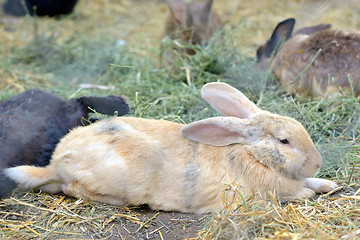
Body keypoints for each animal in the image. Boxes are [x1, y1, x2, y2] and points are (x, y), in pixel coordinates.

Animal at [4, 83, 338, 214]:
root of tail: (56, 163)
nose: (317, 162)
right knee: (72, 188)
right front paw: (310, 191)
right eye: (284, 141)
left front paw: (327, 183)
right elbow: (295, 193)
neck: (251, 154)